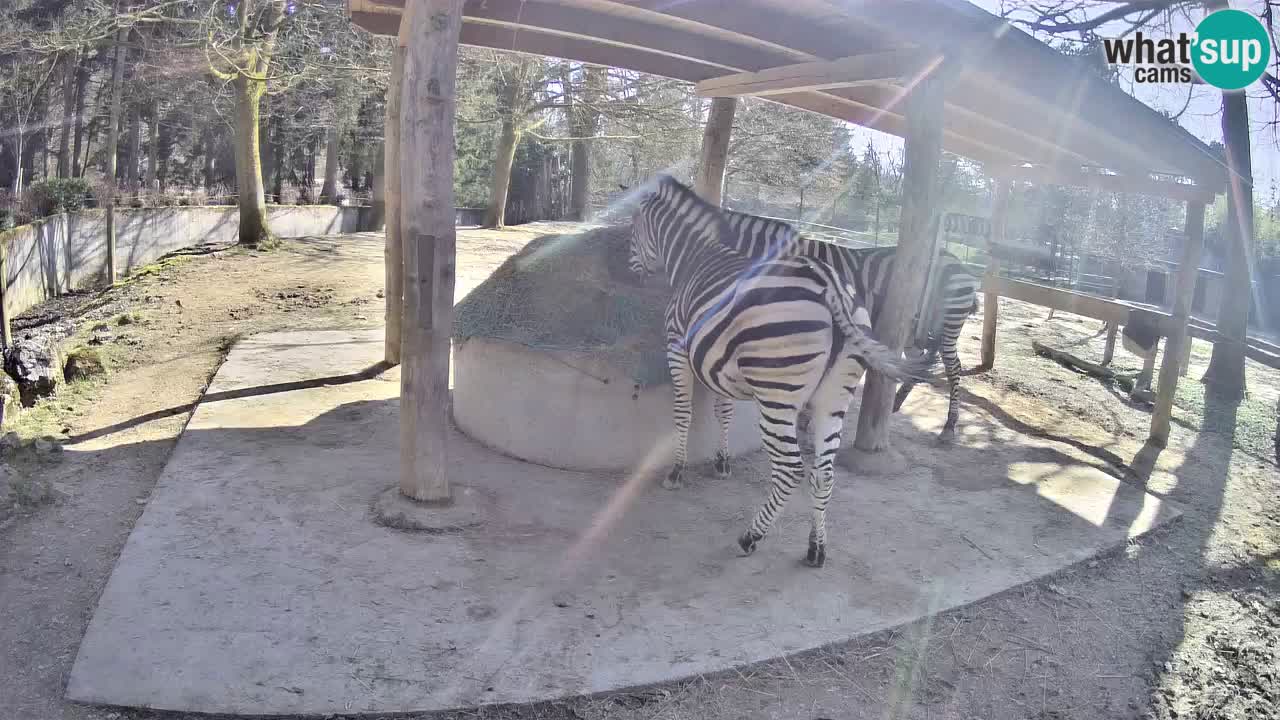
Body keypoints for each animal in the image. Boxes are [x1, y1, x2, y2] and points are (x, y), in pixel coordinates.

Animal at [629, 175, 938, 567]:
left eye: (632, 230)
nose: (629, 273)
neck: (692, 256)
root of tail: (830, 285)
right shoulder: (715, 361)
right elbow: (723, 410)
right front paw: (722, 462)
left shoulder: (678, 348)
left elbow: (683, 412)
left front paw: (676, 471)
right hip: (833, 397)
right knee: (823, 473)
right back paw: (816, 548)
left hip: (778, 396)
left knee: (791, 469)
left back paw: (750, 537)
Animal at [715, 208, 980, 441]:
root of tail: (956, 260)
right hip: (913, 330)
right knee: (921, 360)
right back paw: (895, 403)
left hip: (950, 321)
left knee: (953, 366)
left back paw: (949, 426)